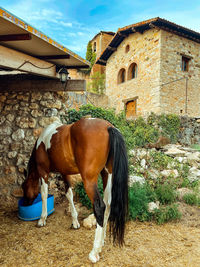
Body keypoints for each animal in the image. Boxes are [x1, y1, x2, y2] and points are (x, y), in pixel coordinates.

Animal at [21, 118, 128, 264]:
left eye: (23, 187)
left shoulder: (43, 172)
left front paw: (42, 219)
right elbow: (69, 194)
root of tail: (108, 127)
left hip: (89, 180)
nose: (25, 203)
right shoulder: (64, 173)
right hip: (107, 175)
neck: (42, 143)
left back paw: (94, 252)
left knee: (100, 206)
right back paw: (101, 243)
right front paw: (75, 221)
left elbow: (43, 194)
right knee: (108, 205)